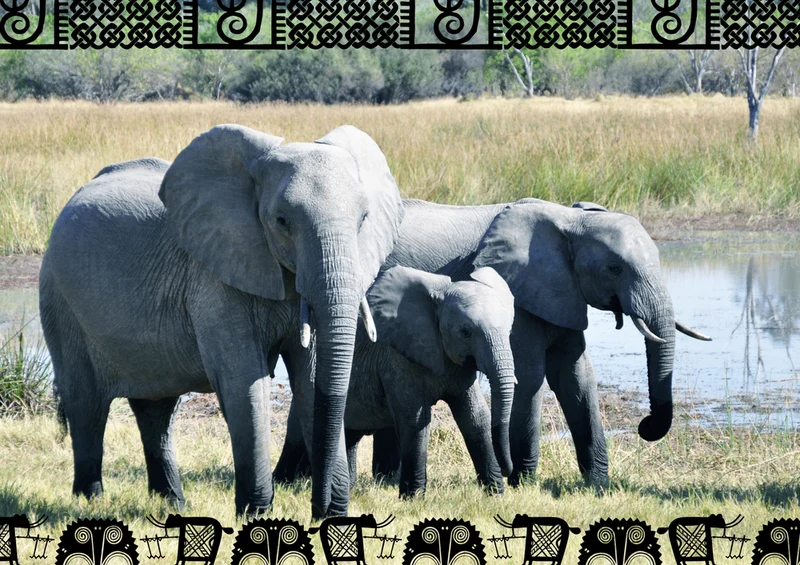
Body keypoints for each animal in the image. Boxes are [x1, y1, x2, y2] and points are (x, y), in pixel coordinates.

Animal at [39, 124, 404, 518]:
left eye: (363, 220)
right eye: (282, 221)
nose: (321, 509)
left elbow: (310, 378)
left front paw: (331, 517)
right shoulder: (213, 277)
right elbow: (244, 381)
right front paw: (255, 514)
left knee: (157, 410)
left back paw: (172, 504)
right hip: (60, 298)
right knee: (86, 403)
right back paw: (90, 500)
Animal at [340, 265, 516, 496]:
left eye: (509, 330)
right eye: (465, 333)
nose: (507, 470)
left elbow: (475, 417)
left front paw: (495, 495)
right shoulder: (396, 356)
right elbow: (415, 421)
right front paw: (413, 498)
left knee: (350, 434)